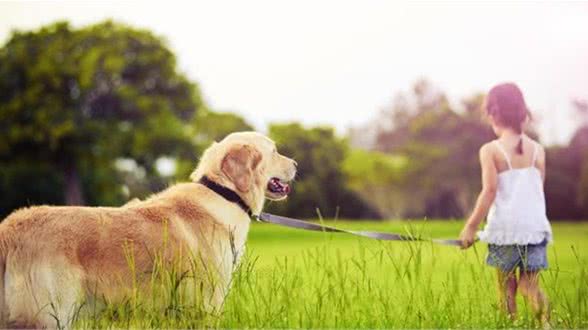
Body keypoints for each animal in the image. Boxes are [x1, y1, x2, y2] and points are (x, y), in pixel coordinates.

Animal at [0, 131, 296, 328]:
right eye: (273, 151)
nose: (296, 164)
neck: (224, 193)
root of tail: (10, 228)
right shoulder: (208, 302)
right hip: (52, 314)